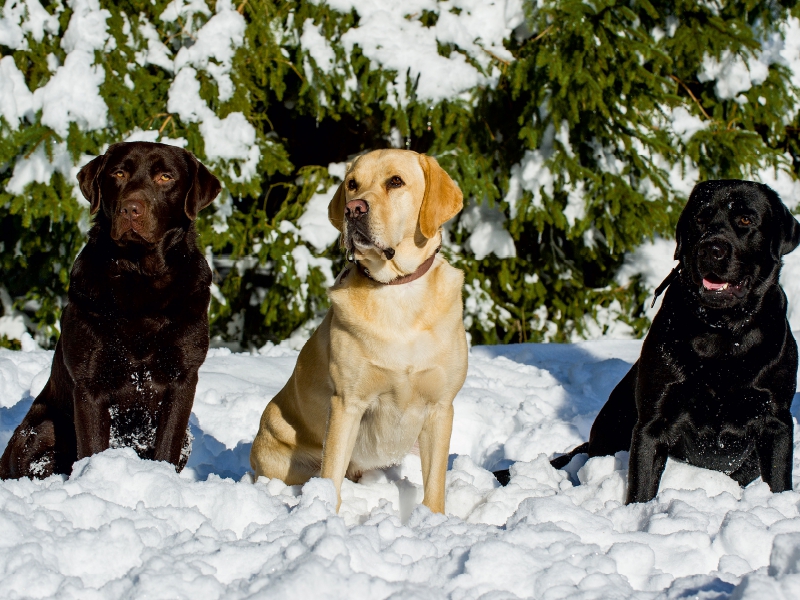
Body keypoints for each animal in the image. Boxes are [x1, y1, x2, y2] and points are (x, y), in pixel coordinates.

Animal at [0, 141, 220, 478]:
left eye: (165, 177)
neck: (140, 277)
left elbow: (167, 445)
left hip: (187, 438)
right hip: (43, 427)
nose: (130, 208)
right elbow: (92, 446)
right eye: (118, 173)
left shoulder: (183, 377)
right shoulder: (90, 383)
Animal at [252, 149, 468, 510]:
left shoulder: (441, 408)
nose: (354, 209)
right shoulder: (347, 402)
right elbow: (331, 476)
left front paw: (433, 518)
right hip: (277, 448)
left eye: (395, 181)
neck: (396, 290)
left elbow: (435, 484)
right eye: (352, 184)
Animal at [512, 180, 800, 504]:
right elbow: (641, 485)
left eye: (746, 220)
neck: (722, 332)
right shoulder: (653, 420)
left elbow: (778, 480)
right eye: (699, 218)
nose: (710, 249)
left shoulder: (776, 420)